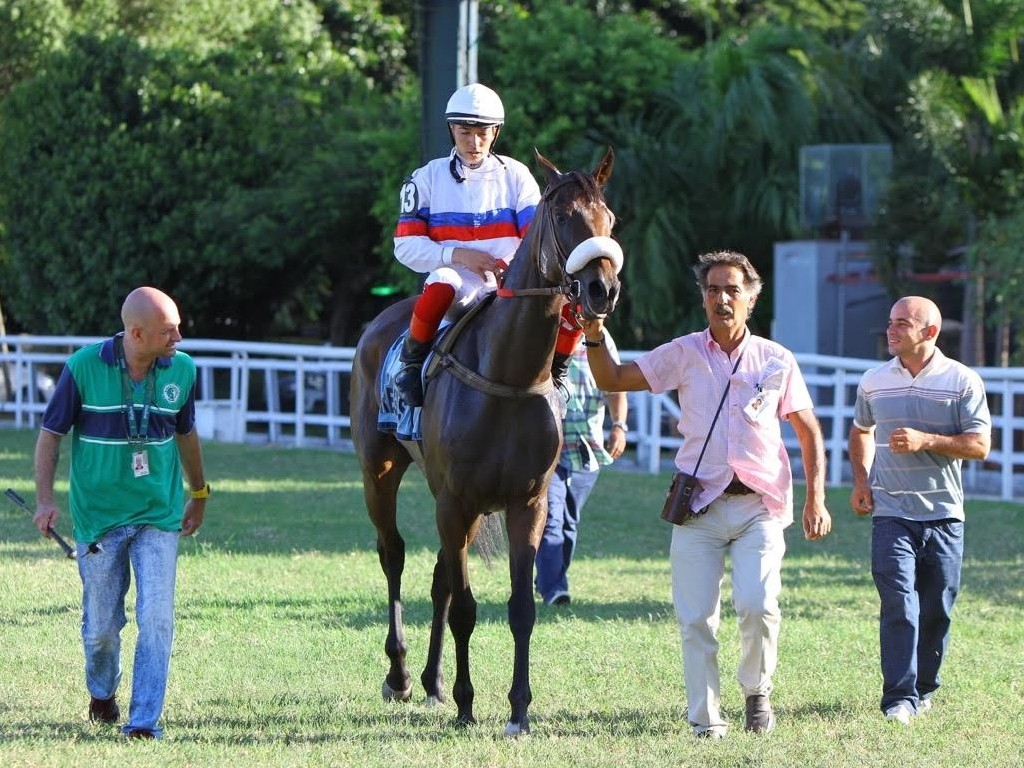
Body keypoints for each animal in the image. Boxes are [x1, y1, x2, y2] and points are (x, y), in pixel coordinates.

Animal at [348, 147, 618, 737]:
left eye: (609, 219)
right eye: (562, 216)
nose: (602, 289)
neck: (507, 375)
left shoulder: (527, 503)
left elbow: (520, 607)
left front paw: (518, 708)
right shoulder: (456, 499)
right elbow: (468, 608)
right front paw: (468, 702)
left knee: (439, 577)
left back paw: (431, 682)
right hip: (380, 470)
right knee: (394, 555)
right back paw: (402, 675)